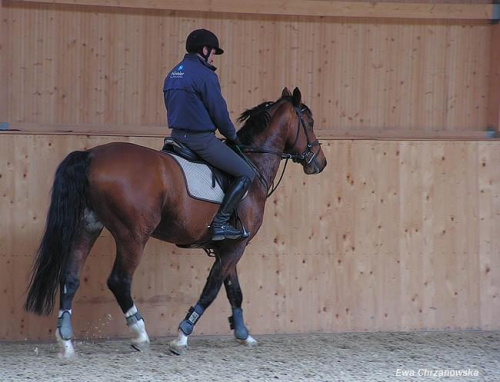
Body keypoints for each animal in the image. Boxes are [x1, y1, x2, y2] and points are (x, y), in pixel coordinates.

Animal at [24, 86, 328, 358]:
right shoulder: (235, 247)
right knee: (119, 280)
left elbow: (234, 291)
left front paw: (243, 334)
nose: (320, 163)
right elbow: (211, 290)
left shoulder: (229, 247)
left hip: (87, 228)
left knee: (70, 277)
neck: (253, 167)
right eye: (310, 123)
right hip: (133, 235)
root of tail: (91, 155)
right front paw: (182, 335)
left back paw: (65, 341)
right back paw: (139, 334)